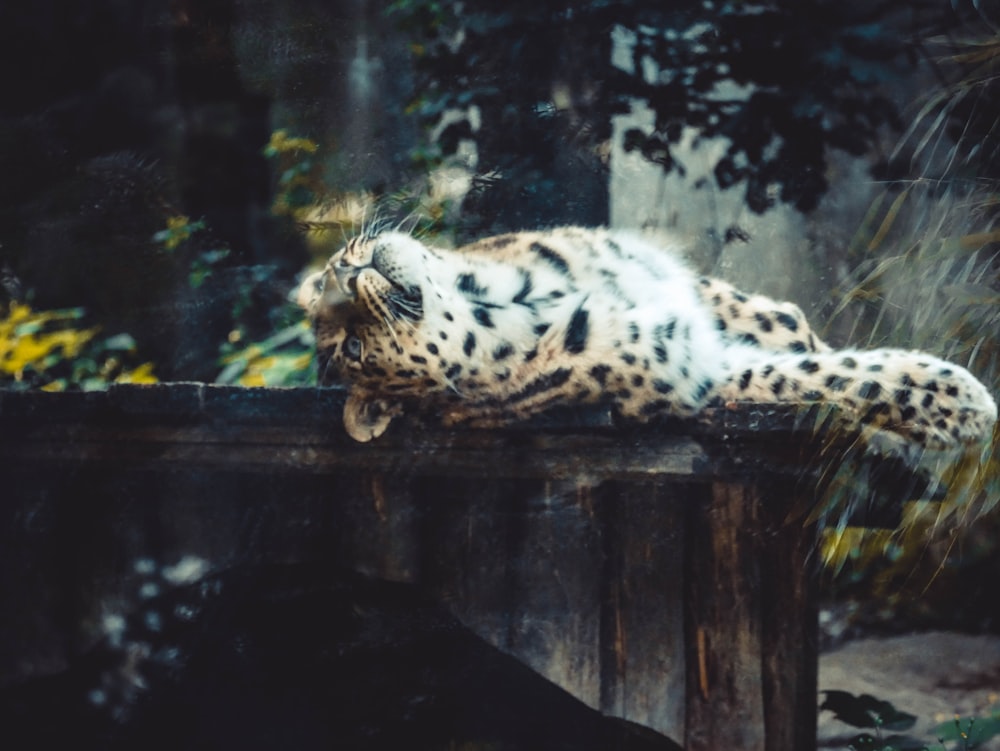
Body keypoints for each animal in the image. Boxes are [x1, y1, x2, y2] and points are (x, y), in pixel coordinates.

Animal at [292, 225, 996, 458]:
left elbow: (771, 318)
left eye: (333, 270)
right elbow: (824, 375)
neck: (496, 295)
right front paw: (960, 404)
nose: (348, 276)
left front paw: (795, 328)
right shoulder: (700, 371)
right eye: (352, 350)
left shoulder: (670, 280)